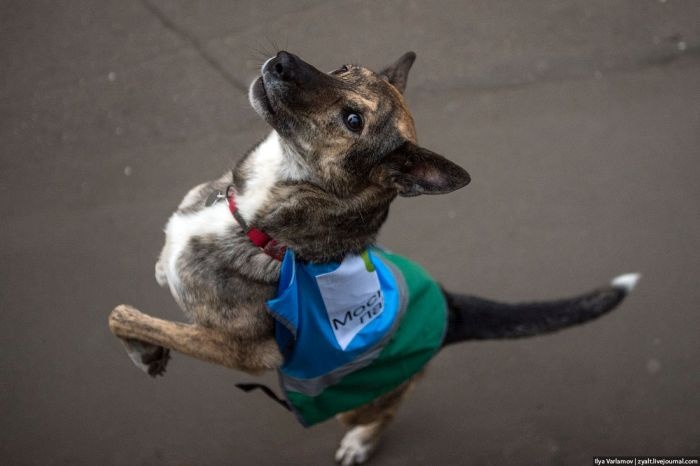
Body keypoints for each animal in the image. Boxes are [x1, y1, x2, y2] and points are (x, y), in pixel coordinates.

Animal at [133, 52, 640, 466]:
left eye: (353, 119)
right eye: (343, 68)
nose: (281, 60)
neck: (263, 227)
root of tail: (451, 306)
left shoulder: (240, 352)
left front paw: (144, 344)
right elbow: (160, 268)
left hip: (361, 400)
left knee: (385, 413)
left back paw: (361, 442)